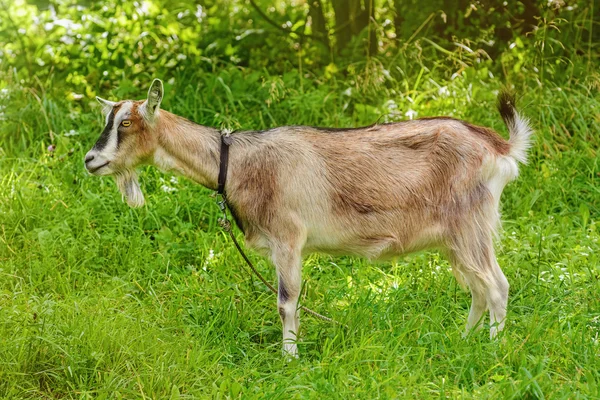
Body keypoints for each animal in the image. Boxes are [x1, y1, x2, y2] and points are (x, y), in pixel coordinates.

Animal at [85, 78, 536, 356]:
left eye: (127, 122)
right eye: (108, 119)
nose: (91, 160)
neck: (238, 163)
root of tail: (499, 148)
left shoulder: (288, 238)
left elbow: (286, 301)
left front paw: (289, 359)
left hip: (470, 225)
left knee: (497, 286)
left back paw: (492, 350)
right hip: (455, 238)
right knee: (478, 290)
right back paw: (462, 341)